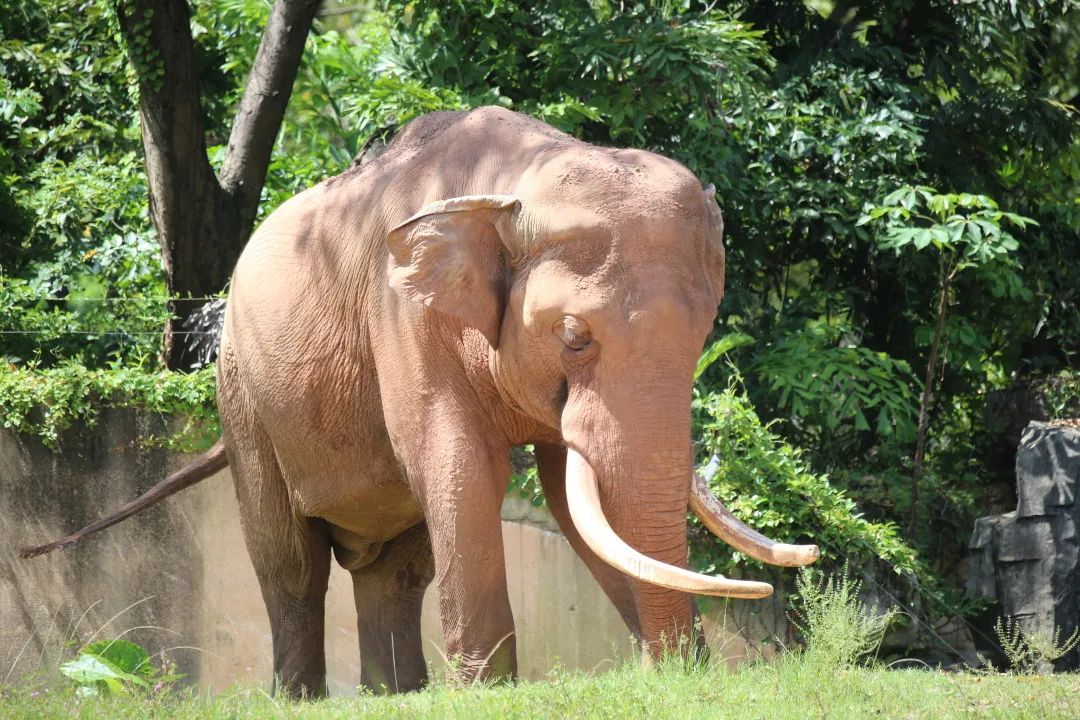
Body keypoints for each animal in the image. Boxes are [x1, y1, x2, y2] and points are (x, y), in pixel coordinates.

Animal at [21, 106, 812, 699]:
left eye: (705, 330)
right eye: (573, 337)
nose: (683, 670)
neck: (513, 186)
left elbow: (564, 489)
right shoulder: (401, 312)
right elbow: (460, 462)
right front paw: (489, 693)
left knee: (394, 570)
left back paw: (395, 694)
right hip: (242, 391)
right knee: (289, 562)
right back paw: (304, 699)